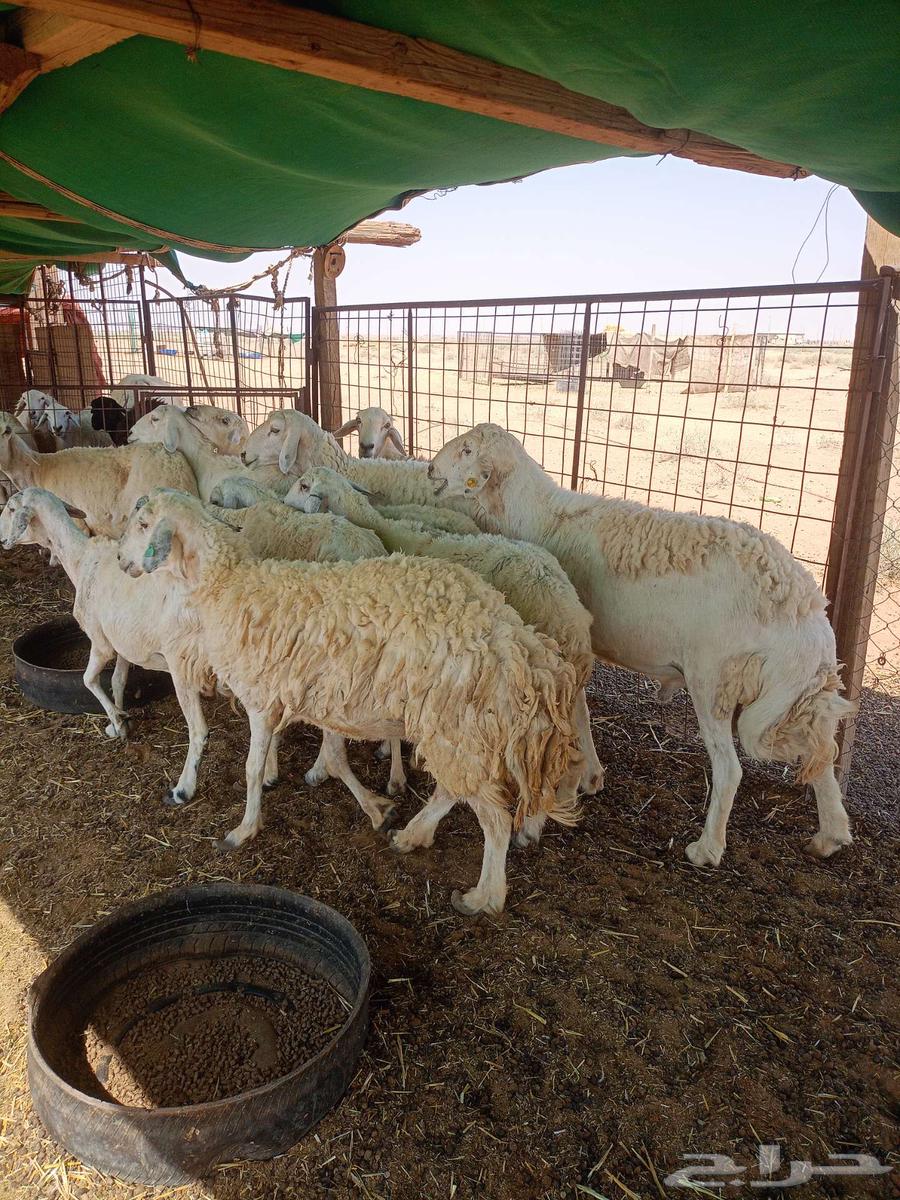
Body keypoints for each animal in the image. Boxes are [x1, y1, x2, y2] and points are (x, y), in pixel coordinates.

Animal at [117, 488, 582, 914]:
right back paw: (413, 835)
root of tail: (521, 648)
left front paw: (243, 830)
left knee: (495, 818)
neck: (228, 586)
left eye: (143, 524)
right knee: (455, 790)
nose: (121, 562)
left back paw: (484, 897)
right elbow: (332, 758)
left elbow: (250, 770)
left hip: (458, 724)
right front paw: (373, 806)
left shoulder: (261, 700)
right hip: (454, 730)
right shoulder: (319, 700)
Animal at [286, 467, 604, 801]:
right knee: (579, 708)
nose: (283, 499)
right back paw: (591, 775)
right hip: (565, 666)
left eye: (304, 485)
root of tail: (568, 611)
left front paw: (321, 769)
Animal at [428, 423, 855, 868]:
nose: (430, 470)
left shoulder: (570, 641)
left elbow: (578, 709)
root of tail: (806, 606)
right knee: (822, 751)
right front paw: (591, 775)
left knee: (730, 768)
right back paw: (831, 834)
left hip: (714, 680)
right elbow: (581, 710)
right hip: (795, 697)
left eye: (468, 450)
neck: (539, 515)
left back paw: (706, 848)